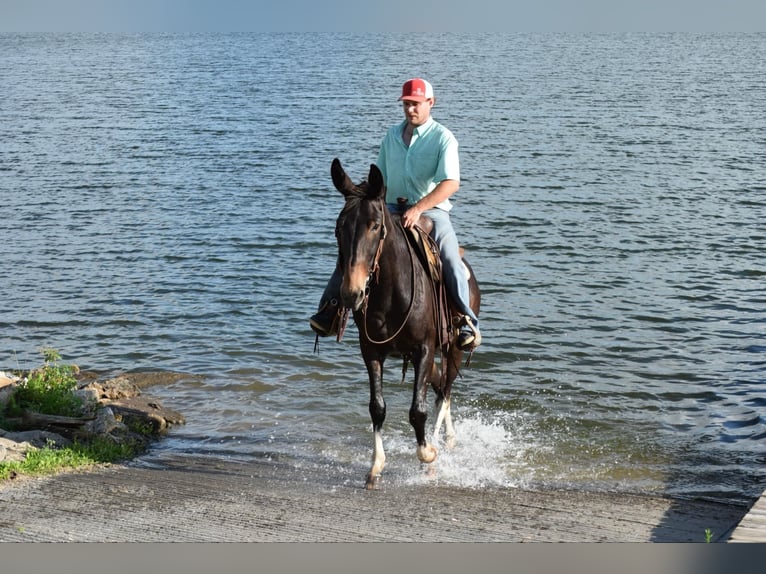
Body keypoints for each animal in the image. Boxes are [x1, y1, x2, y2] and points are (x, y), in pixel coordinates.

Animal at [328, 159, 480, 490]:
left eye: (374, 225)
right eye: (339, 226)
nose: (351, 293)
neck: (390, 293)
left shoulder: (424, 349)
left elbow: (417, 411)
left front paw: (428, 455)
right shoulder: (371, 351)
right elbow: (377, 407)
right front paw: (375, 467)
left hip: (453, 348)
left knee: (445, 391)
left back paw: (442, 441)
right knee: (439, 388)